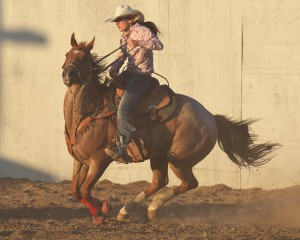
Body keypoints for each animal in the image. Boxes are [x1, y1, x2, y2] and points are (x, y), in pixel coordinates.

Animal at [62, 34, 280, 225]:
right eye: (67, 54)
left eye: (84, 58)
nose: (67, 75)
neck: (90, 109)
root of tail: (211, 117)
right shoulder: (79, 161)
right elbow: (75, 191)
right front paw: (100, 210)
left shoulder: (99, 161)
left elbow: (84, 190)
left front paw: (102, 209)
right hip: (159, 154)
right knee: (159, 181)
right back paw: (126, 212)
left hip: (179, 159)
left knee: (189, 183)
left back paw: (152, 208)